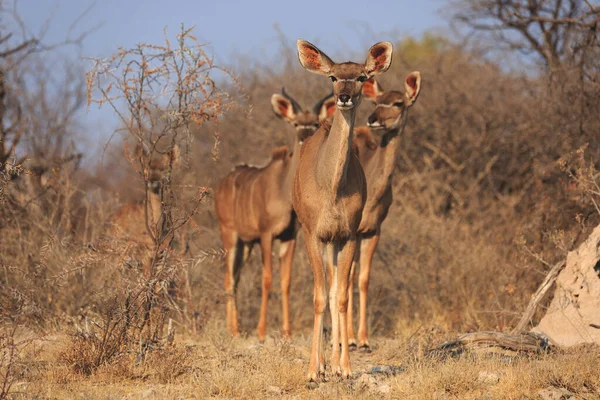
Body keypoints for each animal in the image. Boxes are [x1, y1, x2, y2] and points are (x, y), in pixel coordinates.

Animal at [214, 89, 338, 342]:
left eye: (314, 123)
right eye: (296, 123)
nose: (304, 136)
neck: (283, 191)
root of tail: (220, 185)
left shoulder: (289, 237)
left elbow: (285, 281)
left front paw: (287, 332)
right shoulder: (266, 234)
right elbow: (267, 278)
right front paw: (261, 332)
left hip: (245, 244)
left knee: (236, 278)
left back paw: (236, 328)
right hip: (229, 235)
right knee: (229, 278)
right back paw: (234, 330)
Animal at [292, 38, 394, 382]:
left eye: (362, 76)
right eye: (333, 77)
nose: (344, 96)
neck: (332, 187)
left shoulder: (348, 233)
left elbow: (341, 295)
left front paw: (345, 368)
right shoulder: (312, 233)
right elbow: (318, 297)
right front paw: (313, 370)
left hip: (335, 243)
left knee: (338, 287)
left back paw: (335, 363)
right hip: (322, 241)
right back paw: (323, 363)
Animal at [344, 73, 424, 352]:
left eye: (398, 103)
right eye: (377, 101)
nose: (373, 119)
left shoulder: (372, 231)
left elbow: (363, 279)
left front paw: (364, 339)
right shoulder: (353, 232)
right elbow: (349, 279)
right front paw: (351, 339)